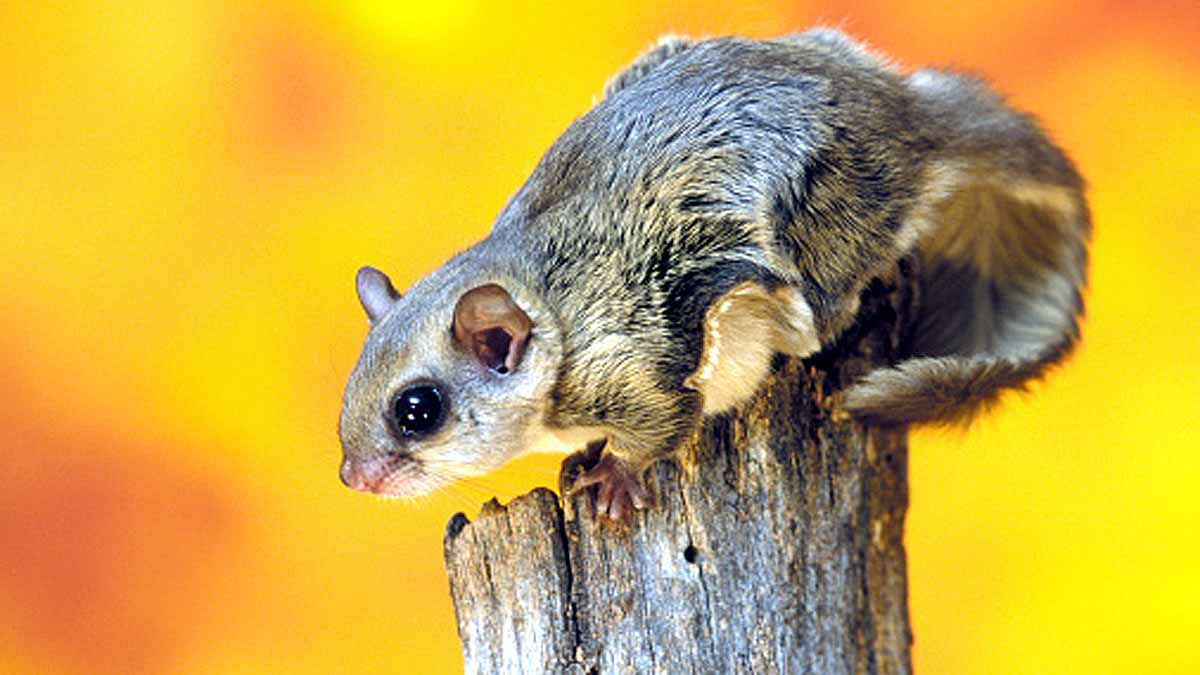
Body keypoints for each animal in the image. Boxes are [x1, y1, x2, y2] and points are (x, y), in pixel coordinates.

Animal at [338, 30, 1090, 520]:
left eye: (417, 410)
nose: (354, 478)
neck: (555, 311)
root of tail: (913, 119)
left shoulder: (632, 369)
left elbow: (662, 424)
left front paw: (613, 477)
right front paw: (582, 461)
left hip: (820, 230)